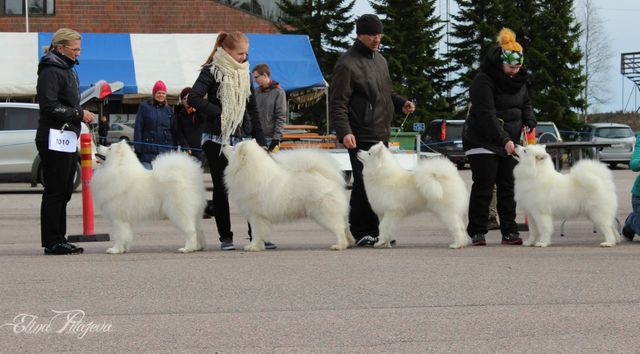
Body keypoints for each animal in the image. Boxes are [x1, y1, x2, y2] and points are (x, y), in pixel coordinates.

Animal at [224, 139, 356, 252]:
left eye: (234, 147)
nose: (224, 144)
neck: (249, 170)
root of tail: (324, 177)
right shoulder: (258, 216)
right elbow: (259, 234)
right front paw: (258, 246)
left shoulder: (257, 215)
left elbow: (256, 233)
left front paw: (253, 247)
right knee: (346, 227)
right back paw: (349, 243)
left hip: (324, 213)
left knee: (339, 228)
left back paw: (339, 245)